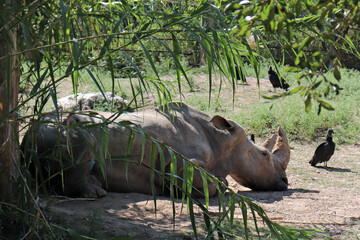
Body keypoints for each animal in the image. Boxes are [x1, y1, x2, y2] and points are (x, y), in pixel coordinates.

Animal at [22, 102, 292, 198]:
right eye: (264, 155)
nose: (284, 182)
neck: (222, 141)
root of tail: (26, 138)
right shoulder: (180, 162)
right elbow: (210, 185)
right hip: (63, 130)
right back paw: (96, 193)